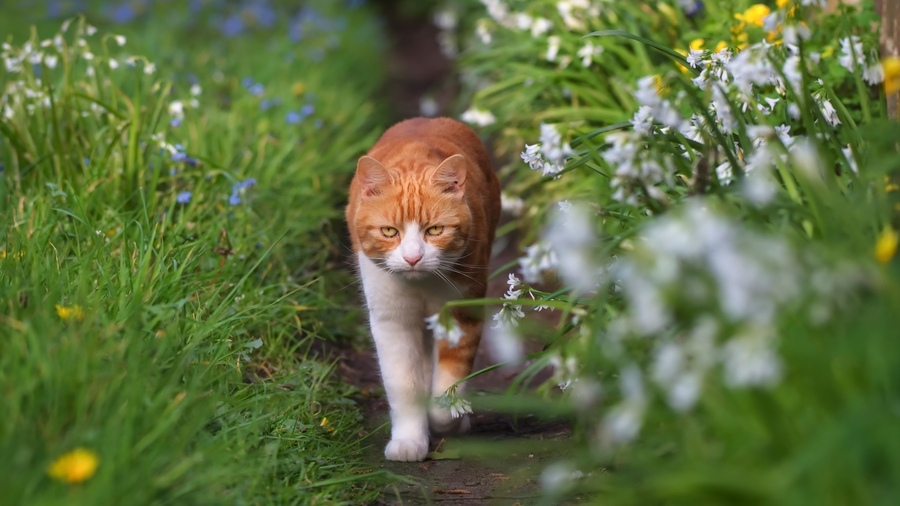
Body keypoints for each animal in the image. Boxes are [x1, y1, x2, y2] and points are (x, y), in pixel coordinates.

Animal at [344, 116, 500, 460]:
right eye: (390, 232)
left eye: (435, 230)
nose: (413, 258)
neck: (422, 284)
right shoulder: (393, 321)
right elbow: (404, 385)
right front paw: (409, 441)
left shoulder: (461, 313)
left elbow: (450, 382)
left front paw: (447, 416)